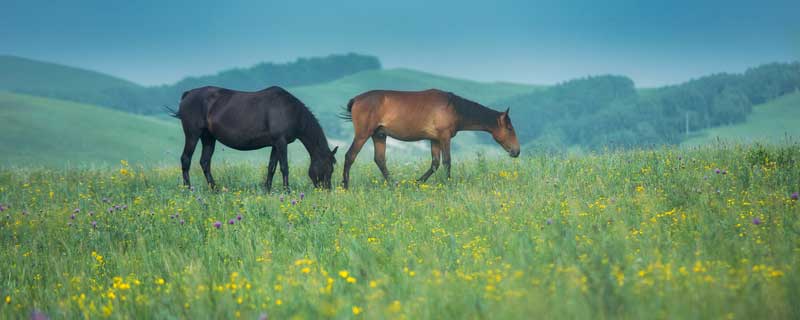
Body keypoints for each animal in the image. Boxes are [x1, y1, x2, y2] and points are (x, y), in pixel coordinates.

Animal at [169, 84, 338, 190]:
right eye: (327, 167)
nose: (327, 191)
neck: (291, 111)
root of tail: (188, 94)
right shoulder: (281, 142)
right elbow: (284, 167)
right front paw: (287, 191)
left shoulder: (275, 144)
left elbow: (271, 167)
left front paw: (267, 190)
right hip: (193, 134)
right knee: (186, 159)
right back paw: (188, 189)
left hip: (208, 137)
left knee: (205, 162)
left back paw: (214, 189)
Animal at [340, 89, 520, 189]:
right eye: (510, 128)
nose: (516, 151)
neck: (453, 107)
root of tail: (356, 99)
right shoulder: (444, 137)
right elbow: (447, 161)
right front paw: (448, 184)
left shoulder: (434, 140)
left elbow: (435, 164)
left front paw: (417, 182)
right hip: (363, 134)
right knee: (350, 156)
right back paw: (346, 186)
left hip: (379, 135)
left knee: (380, 160)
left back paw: (394, 184)